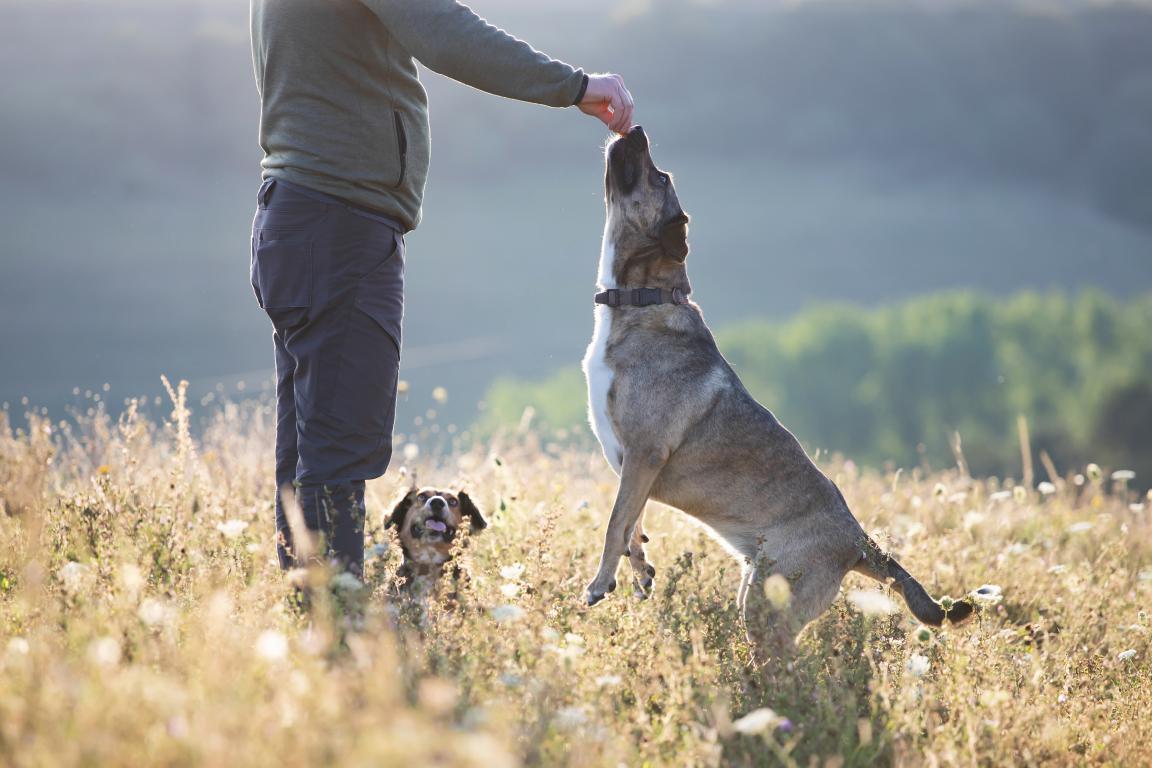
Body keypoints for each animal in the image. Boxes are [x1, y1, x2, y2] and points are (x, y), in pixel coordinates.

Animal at [580, 127, 976, 667]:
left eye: (657, 177)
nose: (635, 130)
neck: (644, 300)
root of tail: (858, 542)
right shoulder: (634, 466)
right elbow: (632, 524)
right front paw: (640, 573)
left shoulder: (645, 453)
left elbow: (614, 523)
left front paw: (600, 583)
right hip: (757, 591)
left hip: (767, 605)